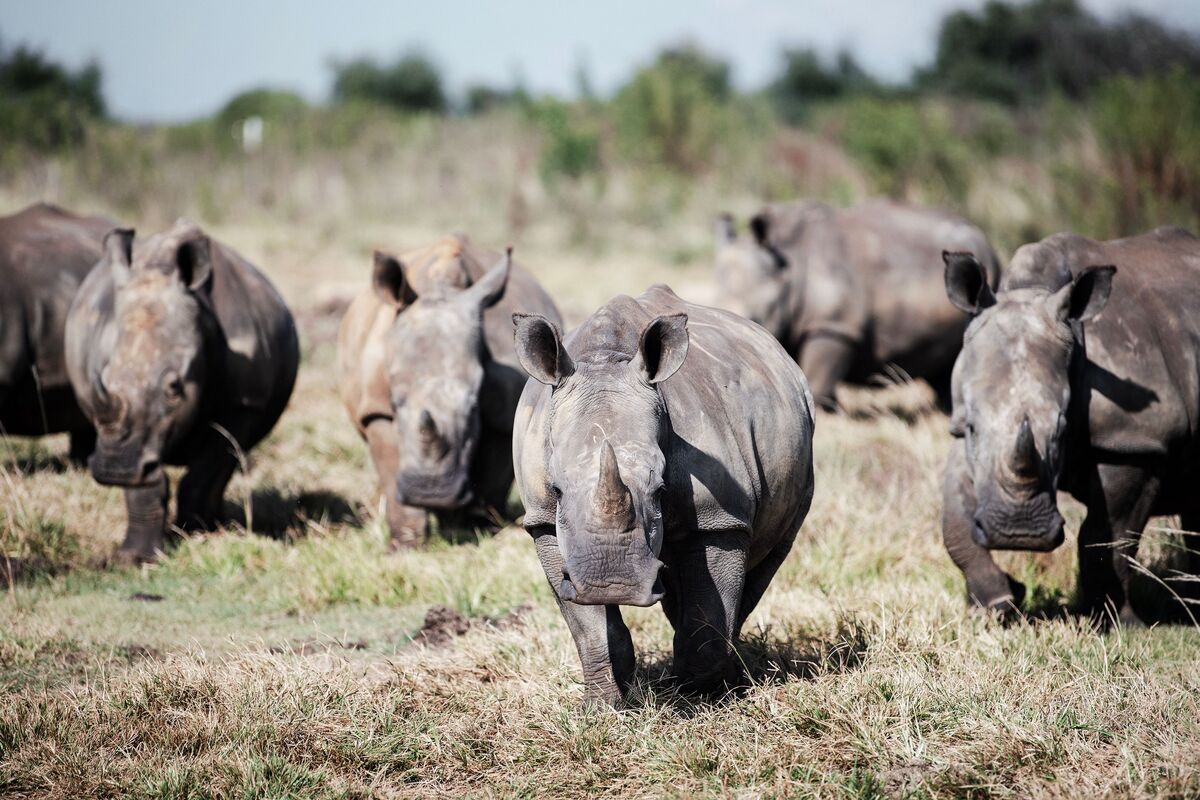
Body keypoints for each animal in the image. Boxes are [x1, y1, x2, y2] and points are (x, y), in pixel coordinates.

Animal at [66, 221, 299, 562]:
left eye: (174, 389)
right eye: (105, 378)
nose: (114, 469)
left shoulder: (244, 404)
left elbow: (206, 471)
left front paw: (199, 537)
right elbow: (145, 482)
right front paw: (133, 559)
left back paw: (215, 524)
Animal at [337, 235, 562, 547]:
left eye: (473, 405)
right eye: (395, 400)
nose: (431, 491)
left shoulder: (504, 411)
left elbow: (493, 474)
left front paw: (473, 529)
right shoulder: (376, 407)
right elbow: (391, 469)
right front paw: (405, 545)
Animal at [512, 284, 815, 707]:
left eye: (659, 489)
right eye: (556, 489)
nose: (613, 583)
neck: (605, 357)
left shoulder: (718, 518)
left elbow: (708, 615)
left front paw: (700, 699)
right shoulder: (542, 521)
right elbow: (590, 628)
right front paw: (604, 706)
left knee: (767, 558)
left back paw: (729, 677)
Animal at [942, 226, 1200, 625]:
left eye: (1063, 430)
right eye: (972, 427)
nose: (1019, 533)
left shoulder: (1133, 441)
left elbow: (1107, 536)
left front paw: (1118, 624)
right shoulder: (962, 427)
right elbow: (954, 519)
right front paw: (996, 604)